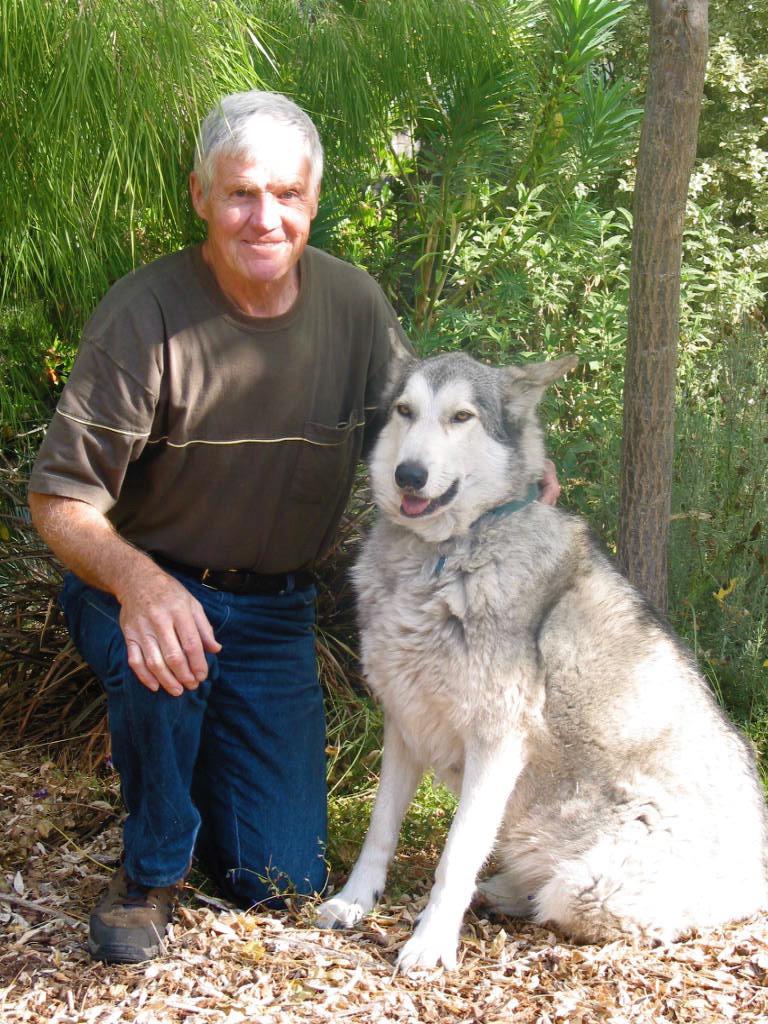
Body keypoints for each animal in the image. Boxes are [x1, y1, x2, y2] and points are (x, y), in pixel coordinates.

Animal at [316, 346, 768, 972]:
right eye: (405, 411)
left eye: (461, 417)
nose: (409, 475)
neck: (442, 560)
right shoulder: (404, 725)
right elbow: (380, 832)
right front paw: (353, 903)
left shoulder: (498, 743)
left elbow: (455, 855)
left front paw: (431, 943)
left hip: (592, 879)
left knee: (578, 904)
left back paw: (511, 894)